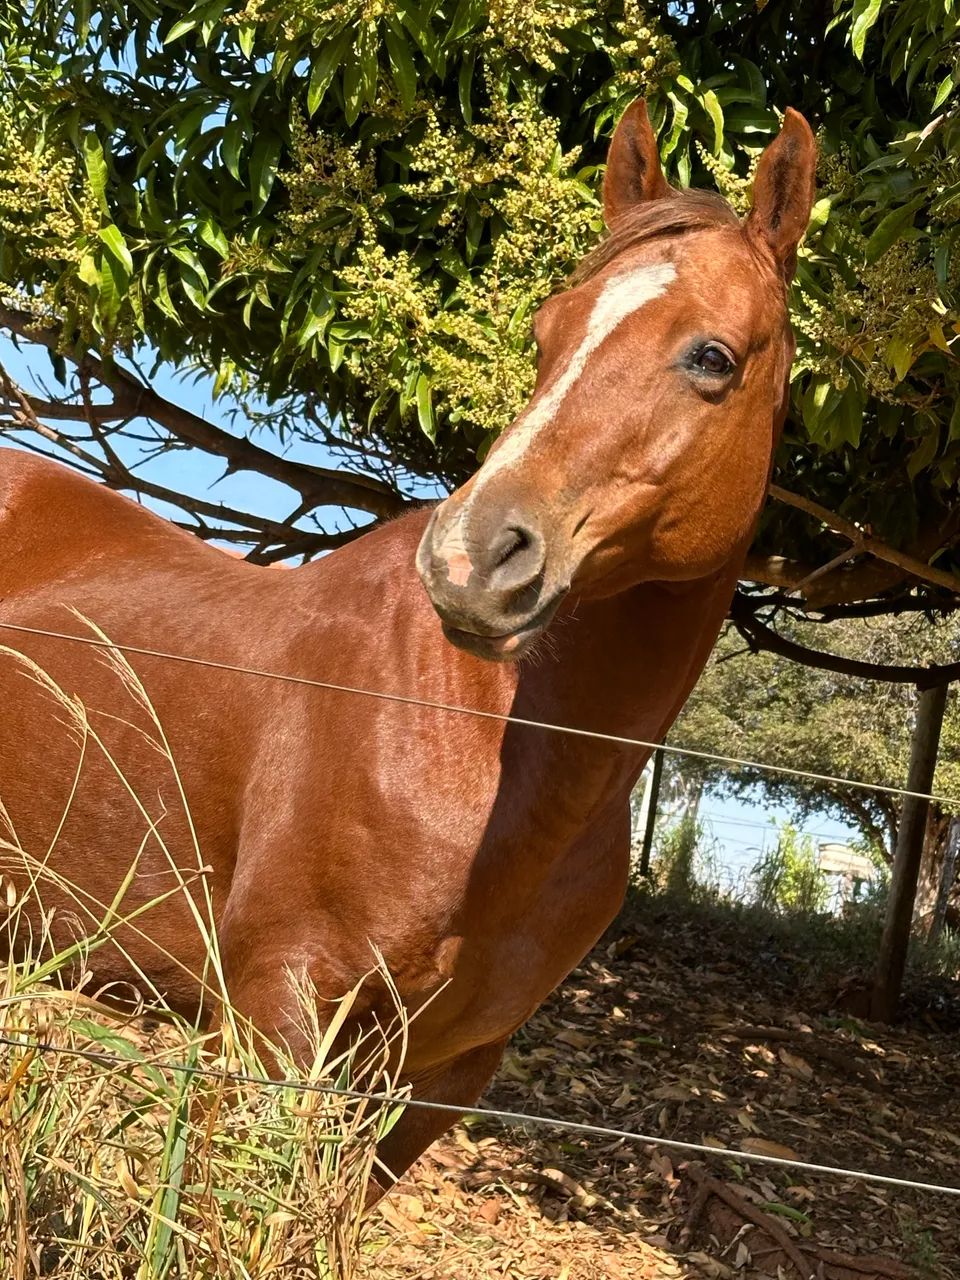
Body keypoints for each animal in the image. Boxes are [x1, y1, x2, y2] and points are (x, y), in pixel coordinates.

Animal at [0, 100, 815, 1188]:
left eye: (713, 357)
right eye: (547, 332)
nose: (472, 556)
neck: (474, 747)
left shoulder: (440, 1074)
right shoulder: (274, 1015)